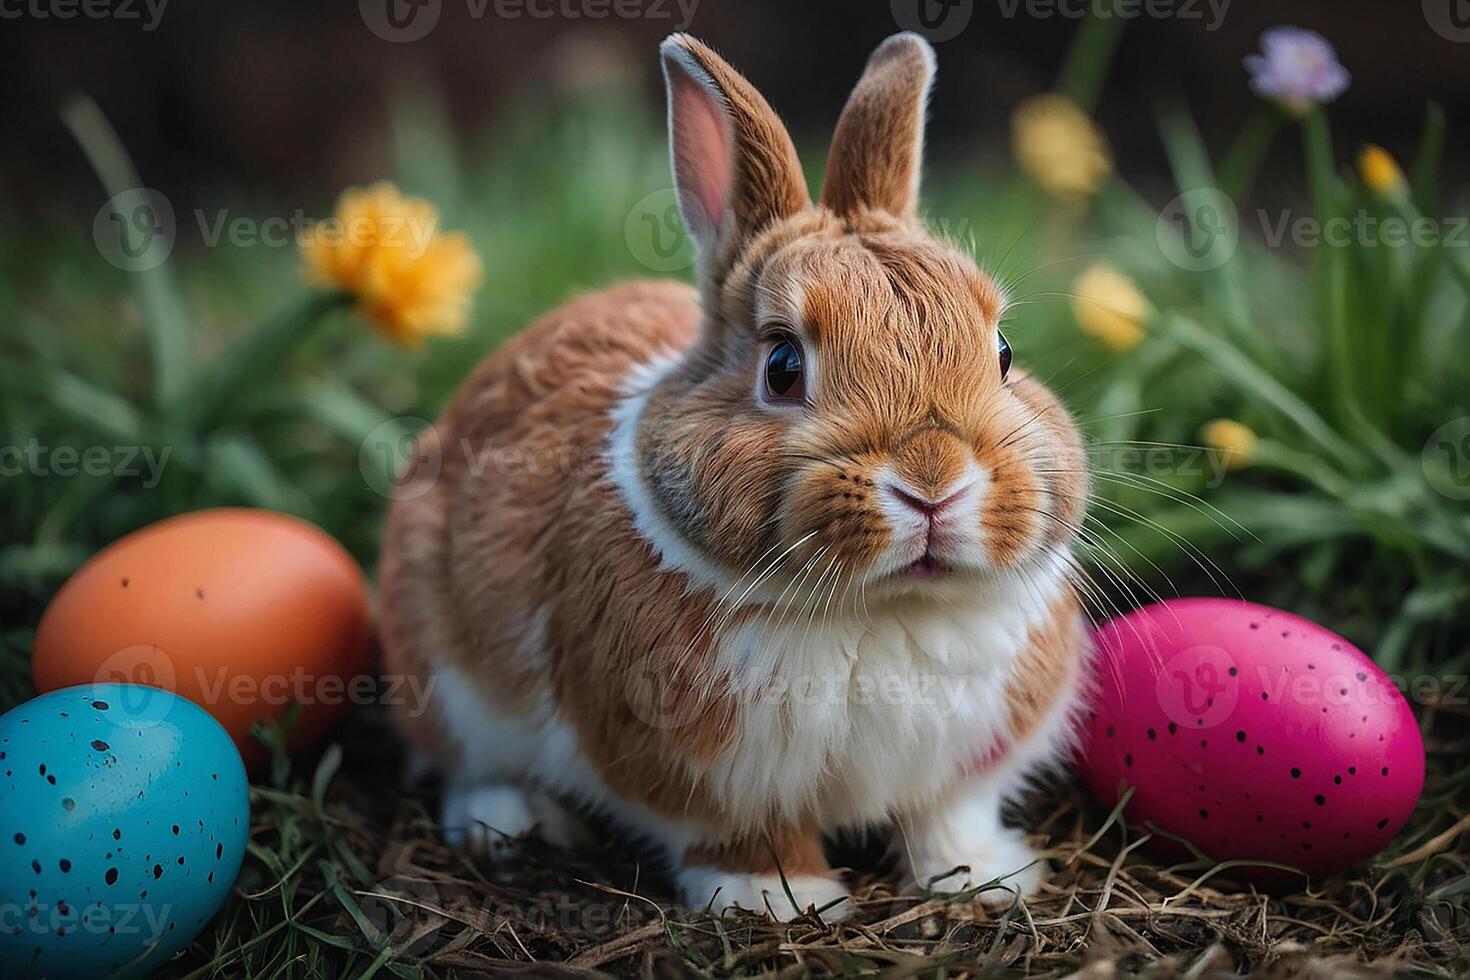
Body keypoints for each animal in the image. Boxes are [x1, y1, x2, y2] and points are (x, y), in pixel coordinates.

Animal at [379, 30, 1093, 922]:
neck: (881, 606)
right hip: (440, 661)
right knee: (466, 765)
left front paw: (986, 877)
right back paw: (511, 819)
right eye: (782, 367)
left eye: (1003, 354)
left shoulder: (962, 766)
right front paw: (780, 900)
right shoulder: (706, 779)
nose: (934, 484)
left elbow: (947, 818)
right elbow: (744, 835)